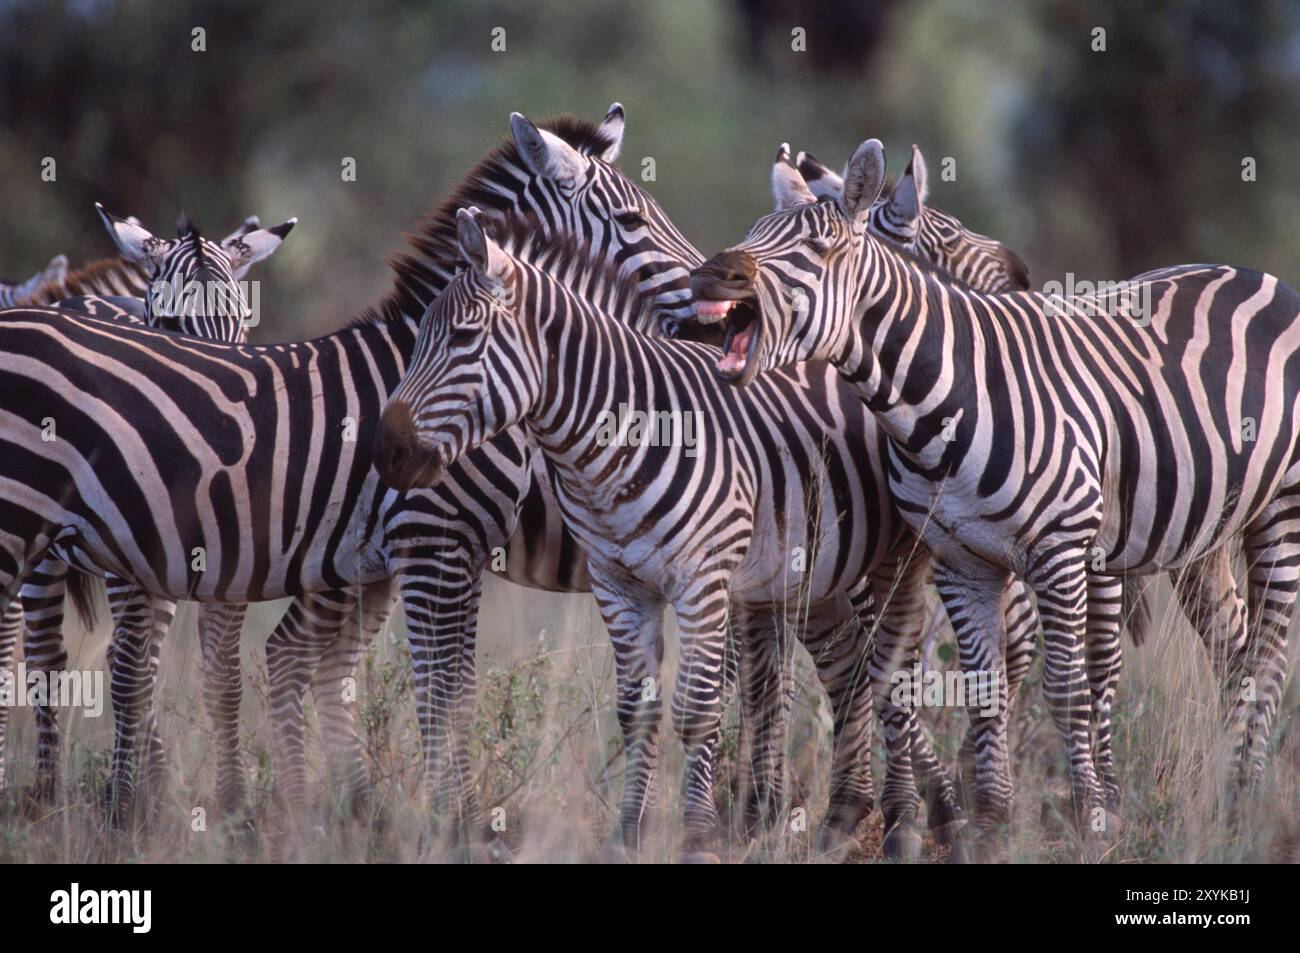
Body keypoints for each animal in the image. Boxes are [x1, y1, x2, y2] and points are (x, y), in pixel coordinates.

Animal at [0, 206, 295, 809]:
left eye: (243, 325)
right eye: (176, 325)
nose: (233, 422)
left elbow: (218, 670)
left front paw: (225, 799)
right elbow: (129, 670)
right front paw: (127, 802)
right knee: (46, 653)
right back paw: (48, 790)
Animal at [690, 136, 1300, 857]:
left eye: (818, 249)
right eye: (753, 232)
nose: (711, 276)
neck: (938, 402)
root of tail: (1258, 274)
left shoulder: (1060, 551)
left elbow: (1066, 687)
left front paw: (1090, 819)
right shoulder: (961, 560)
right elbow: (980, 691)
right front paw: (987, 826)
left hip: (1283, 508)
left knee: (1269, 659)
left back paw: (1244, 800)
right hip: (1201, 531)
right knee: (1236, 652)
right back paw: (1233, 791)